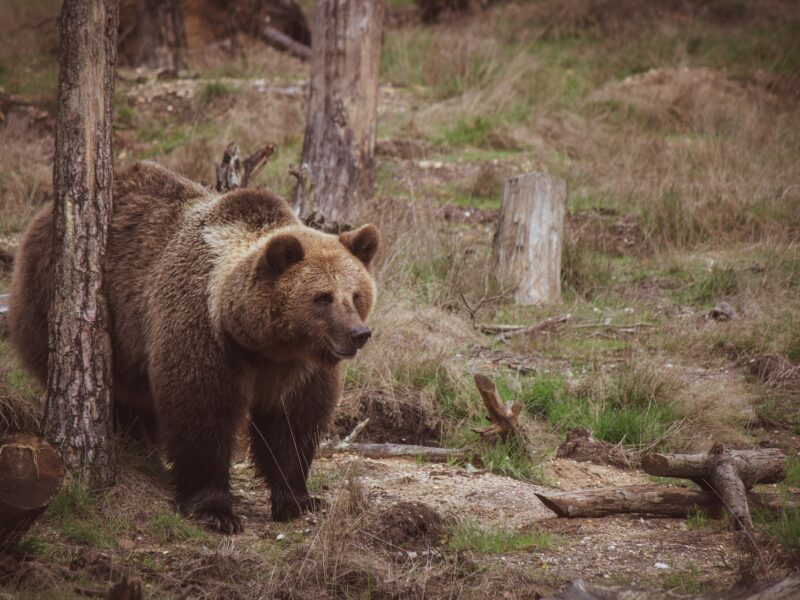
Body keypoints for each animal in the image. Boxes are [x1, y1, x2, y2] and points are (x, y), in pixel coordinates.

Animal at [7, 162, 378, 532]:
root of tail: (41, 218)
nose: (359, 333)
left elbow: (292, 423)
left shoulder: (296, 367)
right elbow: (200, 411)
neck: (260, 342)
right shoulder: (202, 330)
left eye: (356, 294)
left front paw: (299, 499)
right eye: (322, 297)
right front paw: (214, 510)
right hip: (60, 302)